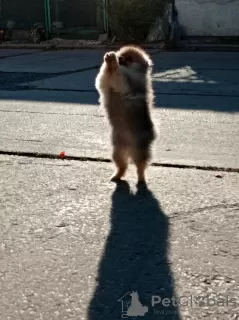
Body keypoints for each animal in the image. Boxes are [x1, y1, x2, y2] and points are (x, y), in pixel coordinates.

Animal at [95, 45, 157, 185]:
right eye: (121, 55)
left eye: (129, 58)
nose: (120, 58)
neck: (130, 70)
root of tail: (128, 147)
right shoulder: (106, 82)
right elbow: (104, 77)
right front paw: (109, 60)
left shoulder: (128, 80)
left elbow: (118, 76)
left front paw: (113, 62)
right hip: (117, 150)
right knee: (123, 165)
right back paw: (116, 176)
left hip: (139, 149)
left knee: (140, 166)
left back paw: (141, 179)